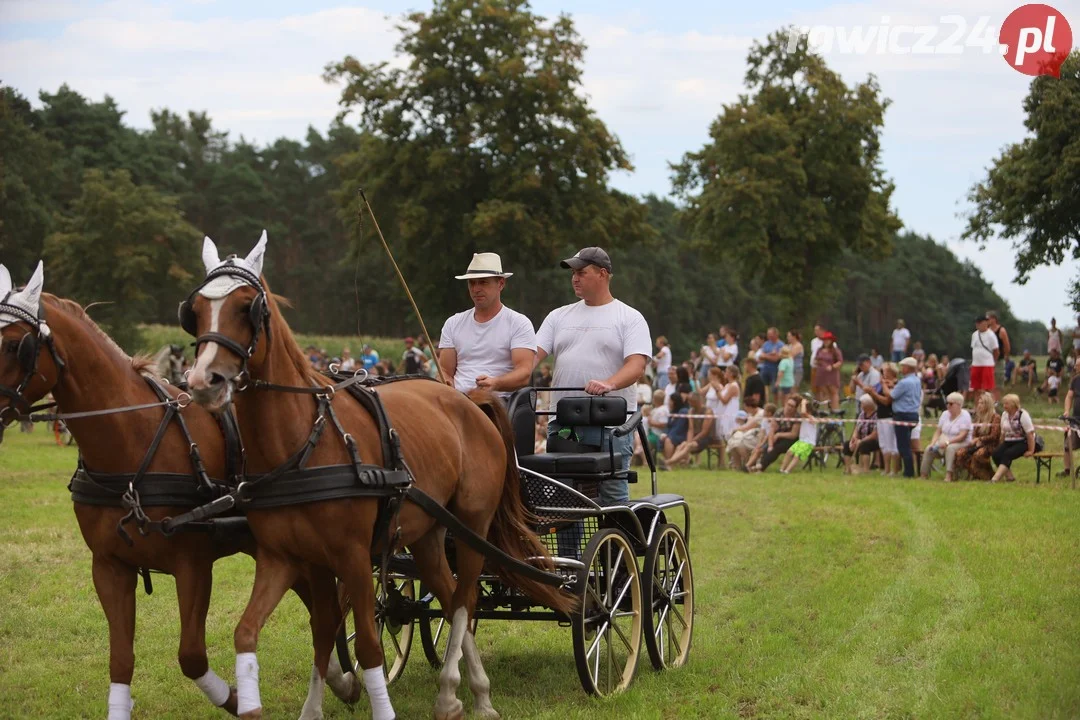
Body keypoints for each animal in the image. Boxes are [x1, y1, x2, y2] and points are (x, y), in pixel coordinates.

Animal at [0, 264, 358, 720]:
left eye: (16, 345)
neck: (133, 441)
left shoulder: (193, 564)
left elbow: (191, 656)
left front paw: (237, 698)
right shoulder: (109, 566)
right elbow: (121, 661)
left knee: (324, 616)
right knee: (320, 612)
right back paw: (342, 681)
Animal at [185, 234, 574, 716]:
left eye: (246, 307)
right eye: (194, 309)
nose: (203, 381)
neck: (303, 443)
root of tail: (470, 402)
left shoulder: (351, 555)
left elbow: (368, 644)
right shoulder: (289, 557)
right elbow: (285, 630)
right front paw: (308, 706)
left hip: (472, 526)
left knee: (465, 601)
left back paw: (460, 692)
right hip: (429, 533)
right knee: (449, 594)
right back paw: (465, 692)